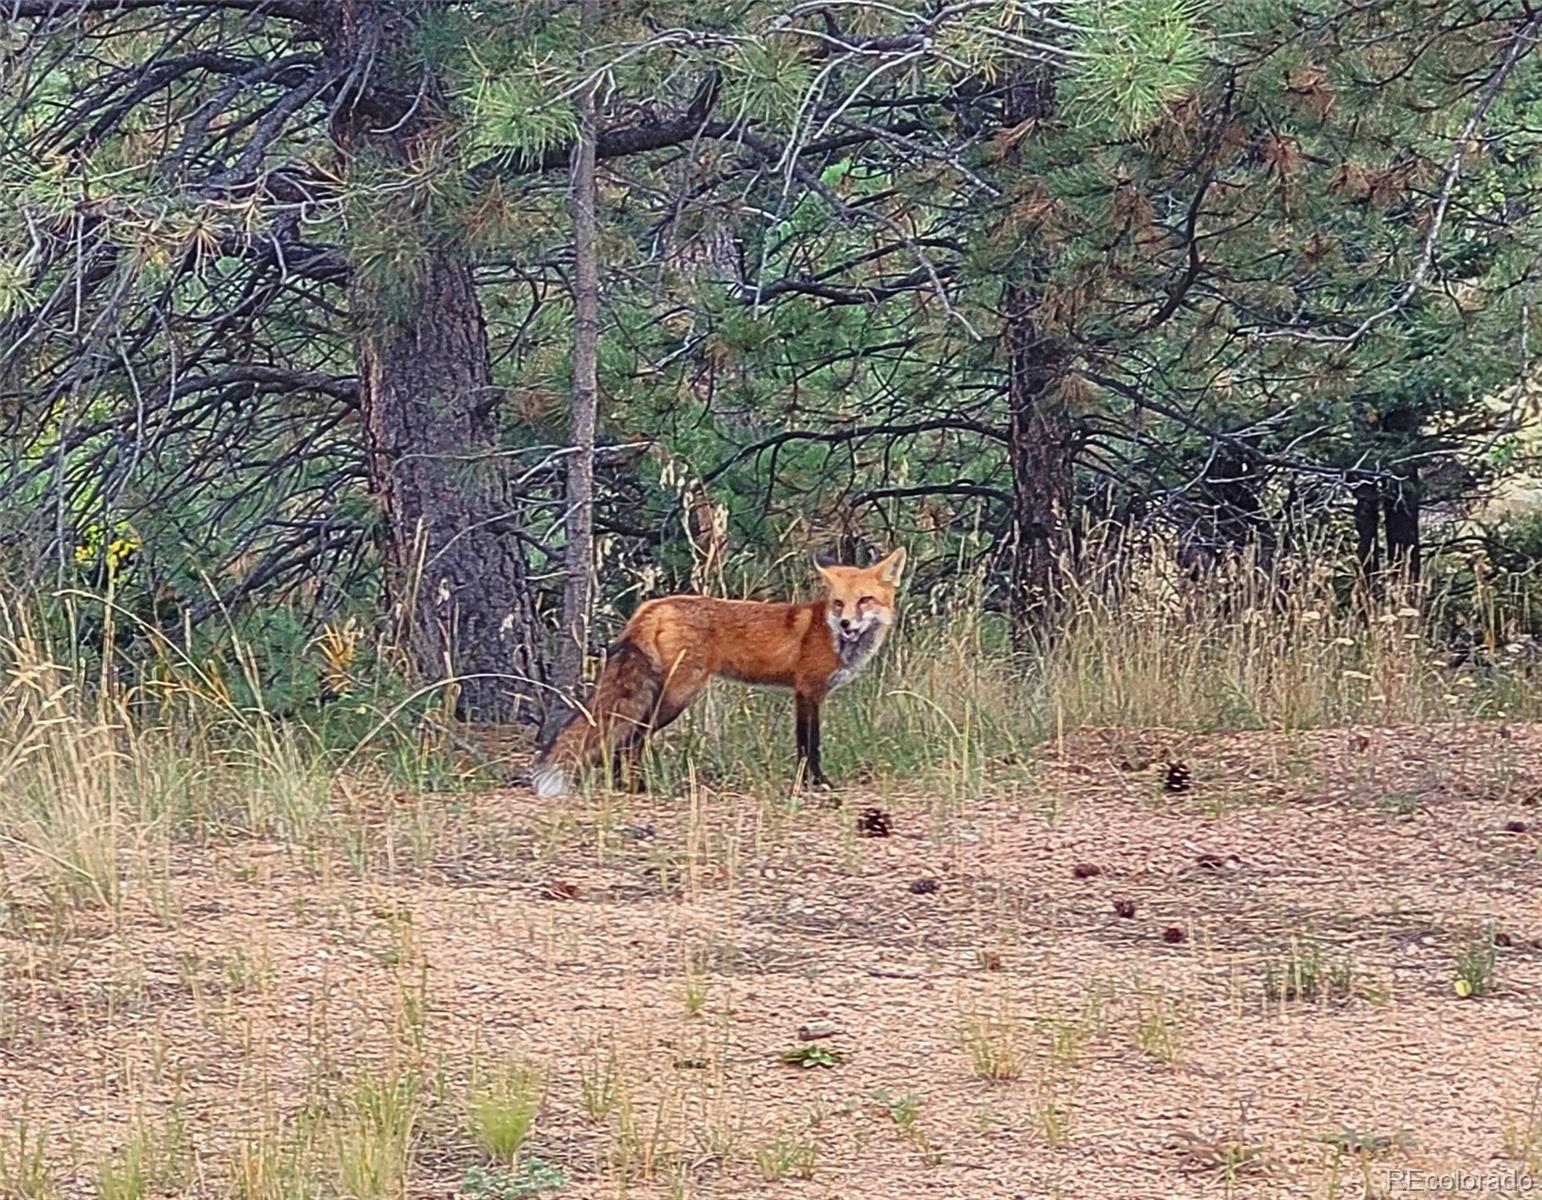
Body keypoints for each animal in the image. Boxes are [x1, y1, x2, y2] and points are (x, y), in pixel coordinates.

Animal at [533, 546, 900, 795]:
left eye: (865, 600)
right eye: (839, 603)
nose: (847, 624)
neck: (829, 633)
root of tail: (653, 606)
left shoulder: (805, 694)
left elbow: (806, 743)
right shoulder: (808, 691)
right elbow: (810, 744)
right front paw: (816, 782)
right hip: (678, 695)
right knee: (632, 738)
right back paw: (637, 786)